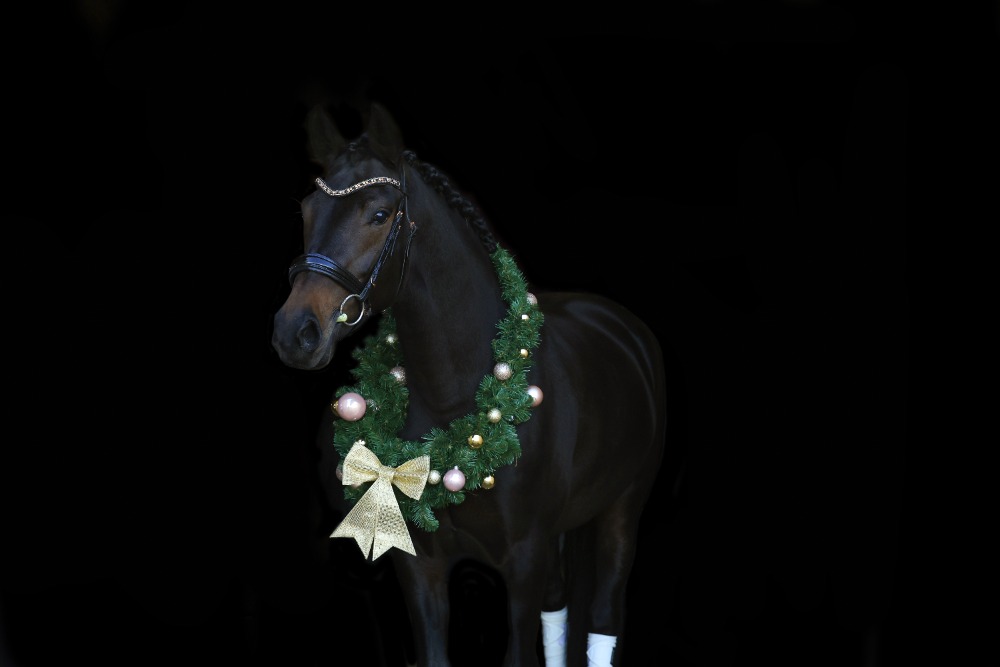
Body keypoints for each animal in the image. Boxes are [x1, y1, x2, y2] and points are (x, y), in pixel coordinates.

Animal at [271, 102, 668, 667]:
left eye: (379, 214)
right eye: (306, 210)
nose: (295, 333)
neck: (457, 404)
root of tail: (623, 326)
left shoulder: (524, 560)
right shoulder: (420, 566)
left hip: (622, 509)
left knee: (604, 617)